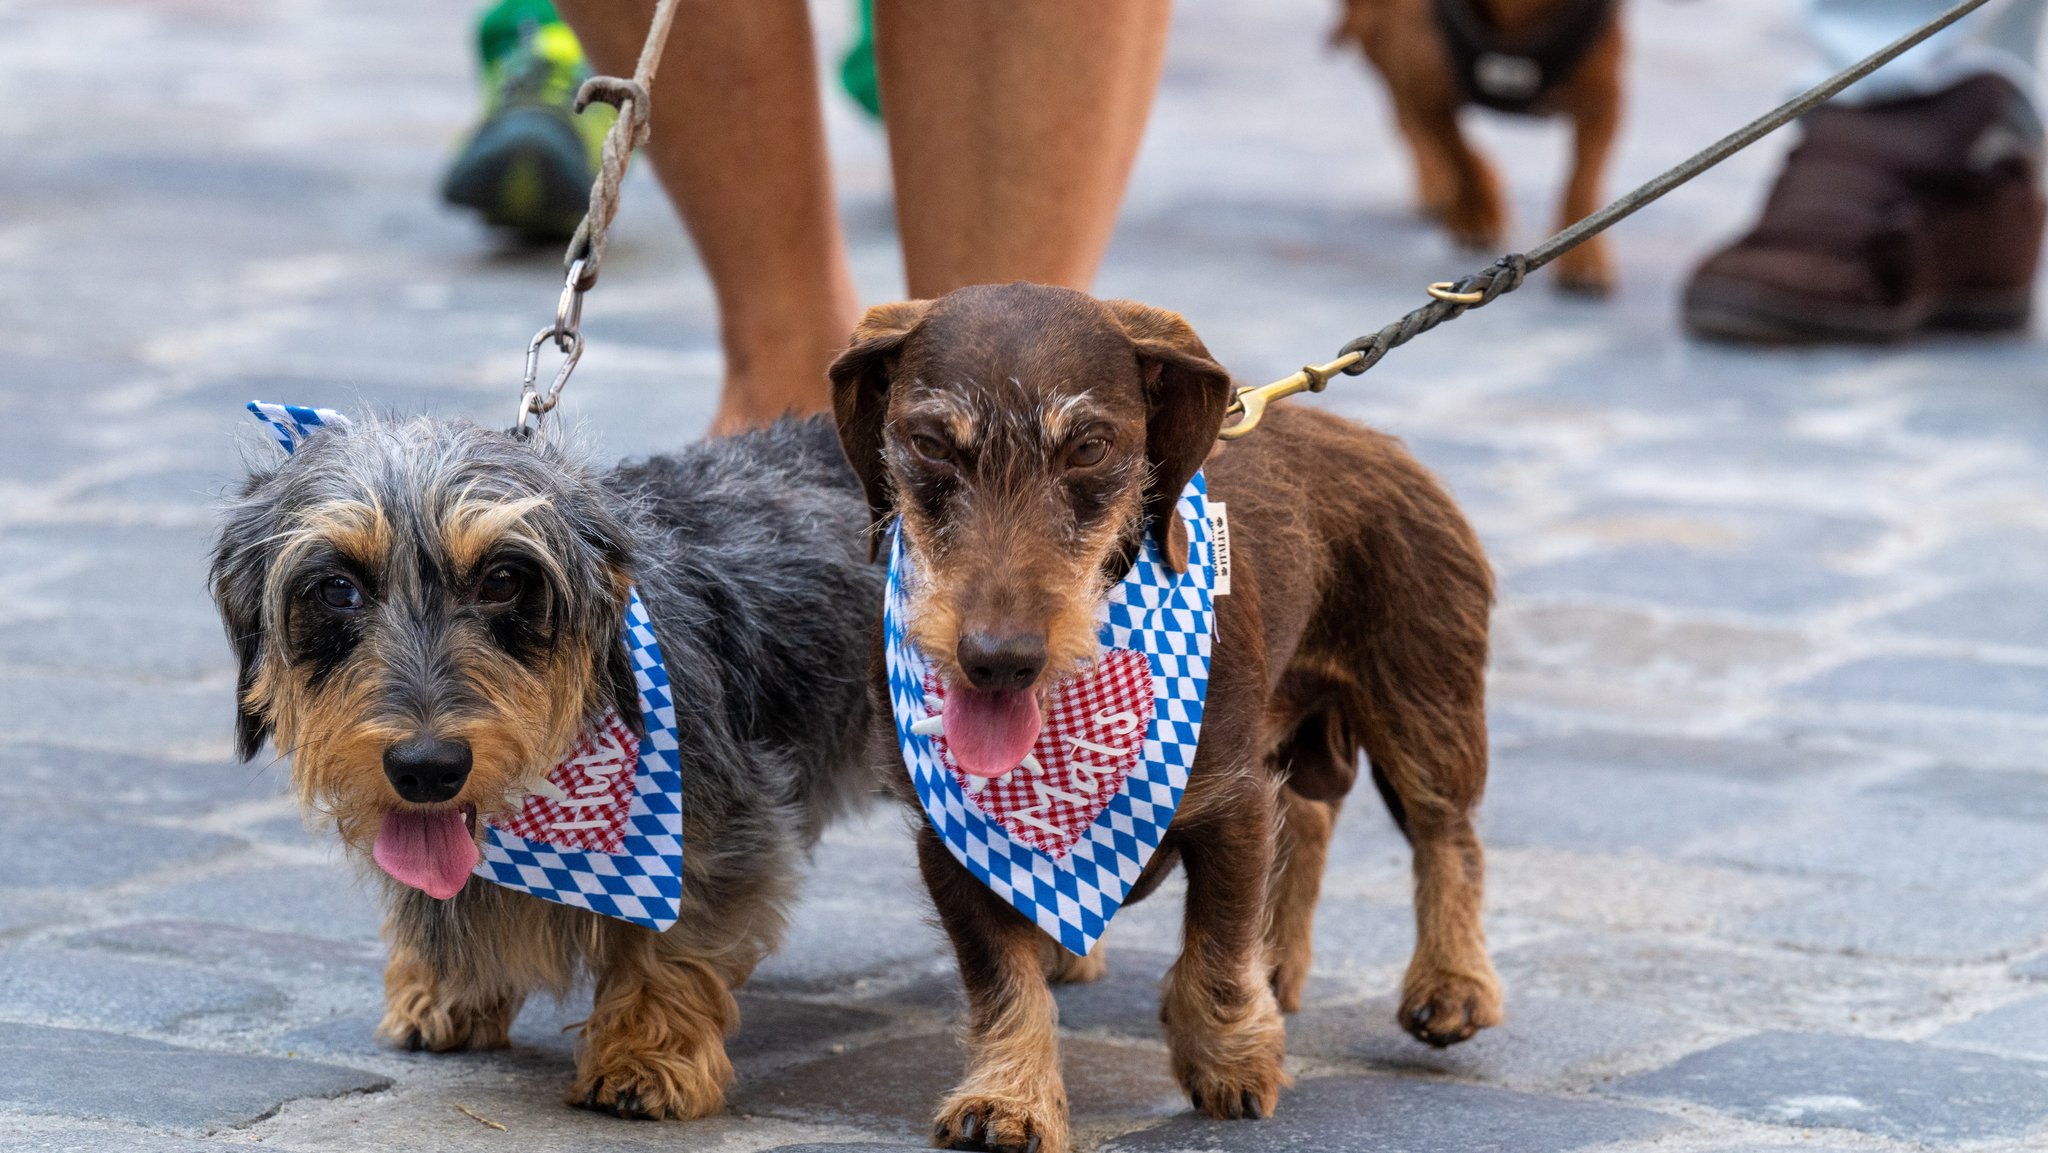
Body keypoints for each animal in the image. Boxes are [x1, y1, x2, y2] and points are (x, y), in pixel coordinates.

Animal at [1335, 0, 1622, 292]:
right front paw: (1477, 214)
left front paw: (1583, 253)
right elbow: (1461, 157)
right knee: (1408, 122)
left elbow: (1582, 180)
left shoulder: (1603, 99)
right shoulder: (1425, 86)